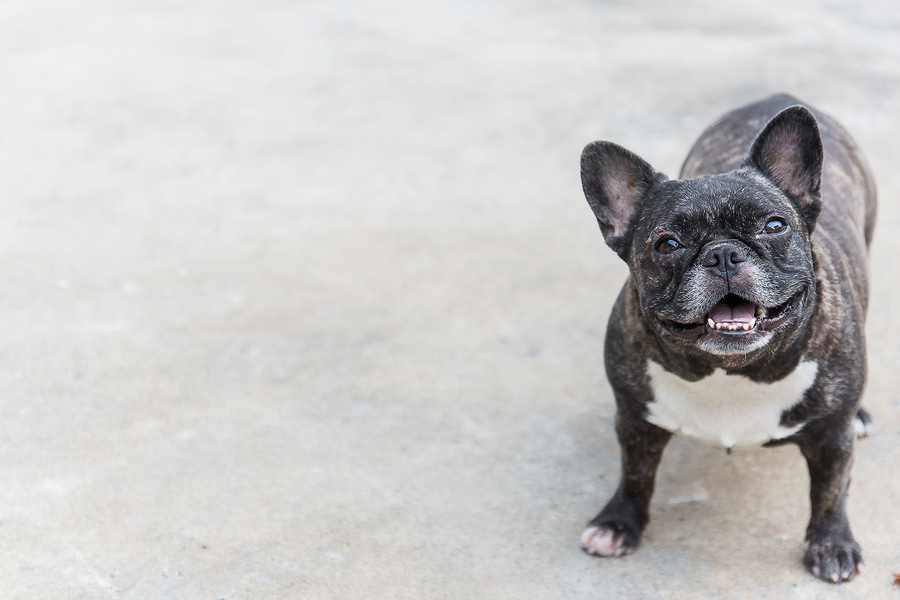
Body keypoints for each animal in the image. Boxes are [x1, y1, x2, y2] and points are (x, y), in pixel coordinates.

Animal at [580, 94, 876, 580]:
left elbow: (830, 491)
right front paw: (618, 522)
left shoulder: (833, 438)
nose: (722, 254)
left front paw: (832, 545)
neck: (729, 370)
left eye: (774, 226)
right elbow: (636, 474)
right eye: (667, 243)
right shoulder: (635, 419)